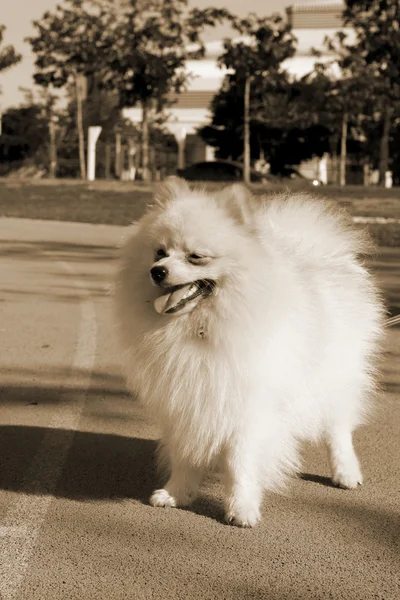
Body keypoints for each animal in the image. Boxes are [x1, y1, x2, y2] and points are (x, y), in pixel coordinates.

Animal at [113, 176, 384, 528]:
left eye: (195, 256)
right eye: (159, 251)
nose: (157, 271)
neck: (202, 326)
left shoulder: (247, 407)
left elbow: (240, 463)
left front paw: (241, 508)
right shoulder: (186, 400)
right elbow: (186, 454)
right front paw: (177, 493)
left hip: (333, 376)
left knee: (338, 427)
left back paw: (345, 472)